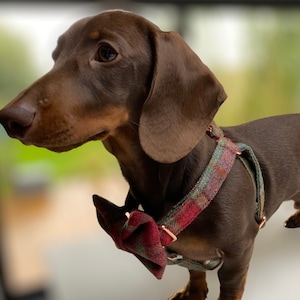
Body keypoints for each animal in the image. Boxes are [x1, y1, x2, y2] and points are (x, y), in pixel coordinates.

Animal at [0, 9, 300, 300]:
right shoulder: (189, 254)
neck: (186, 177)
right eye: (55, 56)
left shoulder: (238, 254)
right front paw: (193, 292)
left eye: (106, 53)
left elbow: (229, 288)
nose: (9, 118)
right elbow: (194, 272)